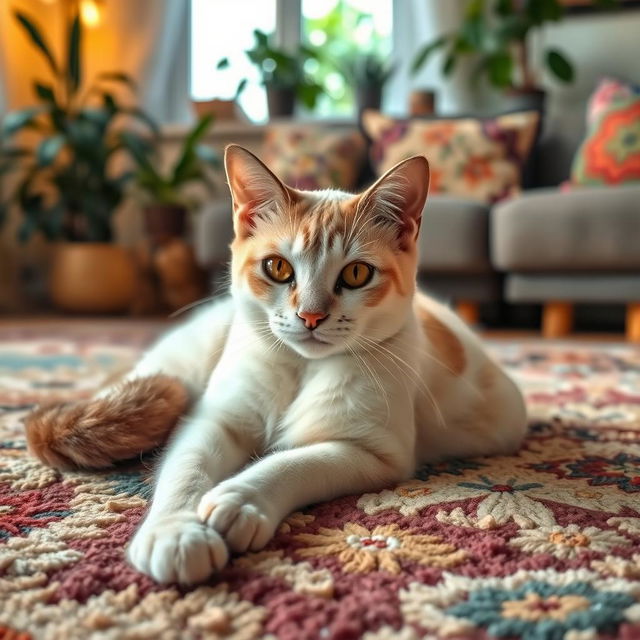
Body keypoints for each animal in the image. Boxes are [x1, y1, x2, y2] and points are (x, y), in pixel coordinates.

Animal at [25, 145, 528, 584]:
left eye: (356, 274)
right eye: (278, 268)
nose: (311, 315)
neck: (301, 370)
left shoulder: (370, 452)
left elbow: (295, 463)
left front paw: (239, 500)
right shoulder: (212, 420)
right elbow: (186, 472)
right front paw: (176, 533)